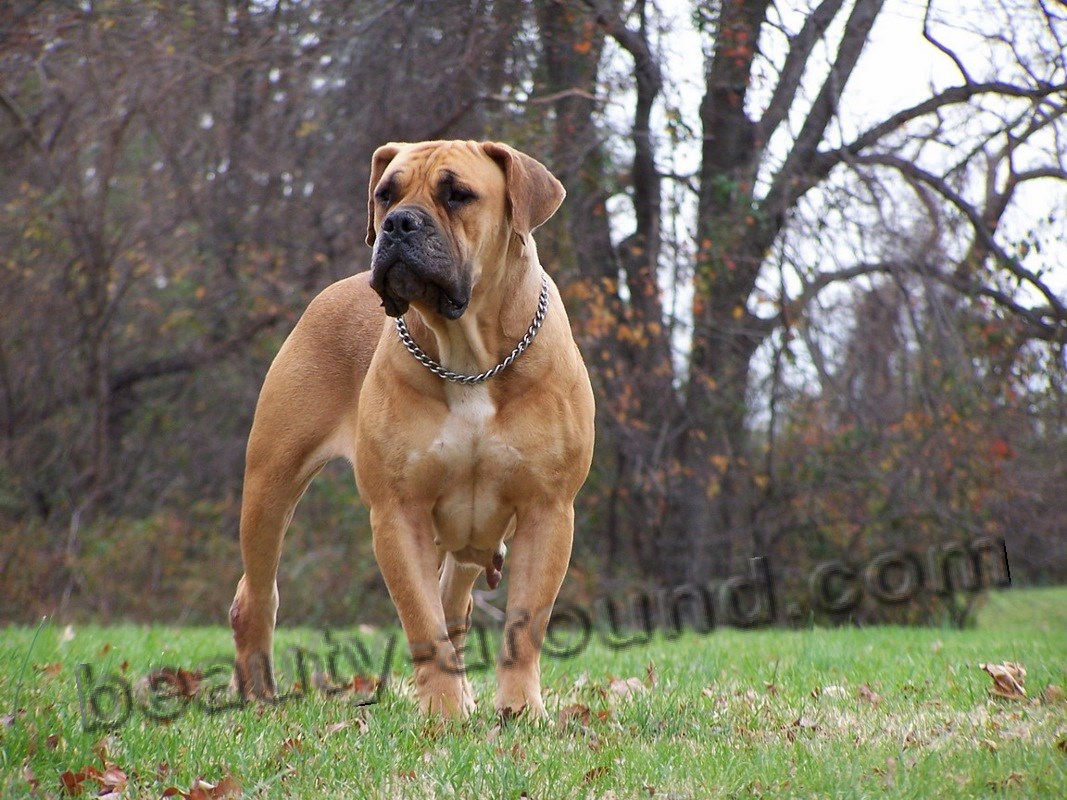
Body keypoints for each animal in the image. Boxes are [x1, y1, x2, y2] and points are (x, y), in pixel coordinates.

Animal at [229, 142, 597, 721]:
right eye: (386, 193)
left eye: (458, 194)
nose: (398, 223)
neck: (469, 358)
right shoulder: (398, 513)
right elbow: (423, 621)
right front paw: (442, 715)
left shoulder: (548, 510)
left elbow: (523, 624)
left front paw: (520, 712)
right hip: (272, 484)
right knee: (258, 592)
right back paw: (259, 691)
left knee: (455, 602)